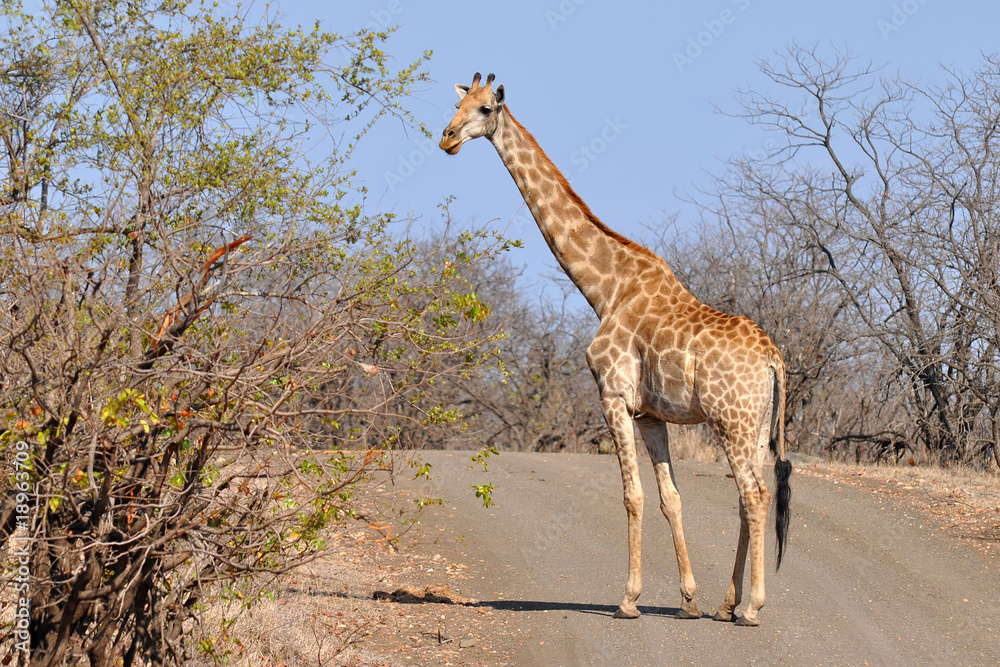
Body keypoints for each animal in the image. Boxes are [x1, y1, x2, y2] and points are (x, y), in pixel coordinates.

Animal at [439, 73, 792, 627]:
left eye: (484, 109)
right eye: (456, 104)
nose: (447, 138)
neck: (605, 288)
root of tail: (774, 358)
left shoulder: (612, 396)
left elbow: (632, 496)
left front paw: (628, 599)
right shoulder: (650, 415)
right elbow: (670, 498)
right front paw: (689, 600)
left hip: (730, 420)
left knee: (754, 495)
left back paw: (752, 607)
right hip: (756, 427)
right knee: (748, 495)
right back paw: (725, 604)